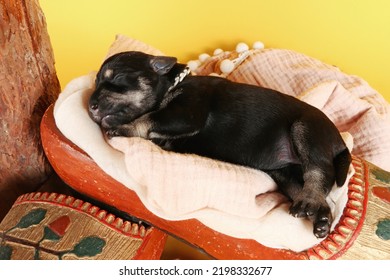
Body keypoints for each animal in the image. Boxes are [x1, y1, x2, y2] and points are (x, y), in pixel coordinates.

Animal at [90, 50, 352, 238]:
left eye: (117, 78)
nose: (91, 105)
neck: (173, 85)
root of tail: (340, 141)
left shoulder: (186, 114)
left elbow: (149, 118)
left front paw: (124, 127)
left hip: (305, 129)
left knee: (319, 171)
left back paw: (310, 202)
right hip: (284, 173)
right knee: (314, 189)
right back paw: (321, 218)